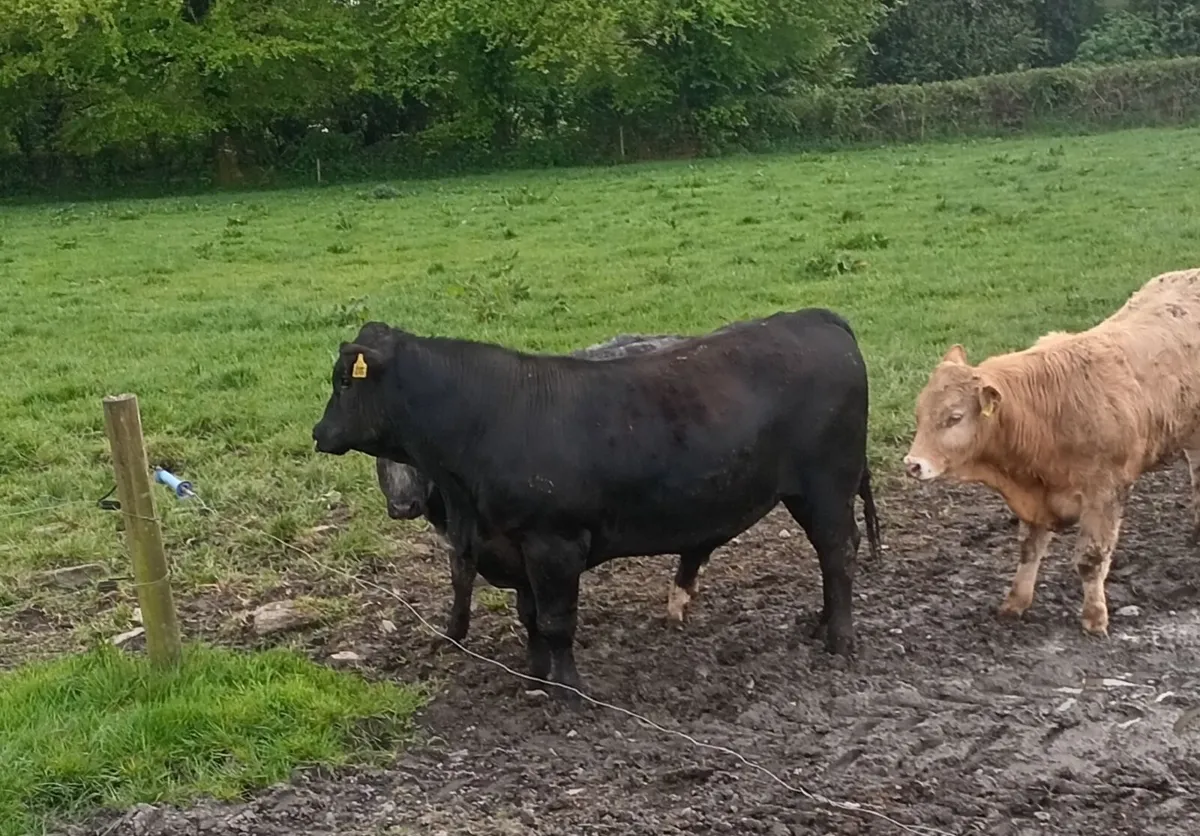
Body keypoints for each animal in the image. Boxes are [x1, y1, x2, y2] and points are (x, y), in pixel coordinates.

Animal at [313, 310, 881, 697]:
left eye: (344, 380)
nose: (319, 432)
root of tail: (815, 317)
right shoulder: (514, 545)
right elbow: (530, 616)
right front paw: (535, 675)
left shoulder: (555, 542)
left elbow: (557, 620)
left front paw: (567, 691)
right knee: (831, 556)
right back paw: (819, 624)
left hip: (827, 484)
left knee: (839, 552)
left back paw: (839, 640)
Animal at [902, 267, 1200, 638]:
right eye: (919, 413)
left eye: (954, 417)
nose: (913, 464)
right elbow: (1029, 550)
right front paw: (1016, 602)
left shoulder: (1105, 493)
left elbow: (1090, 560)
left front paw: (1094, 617)